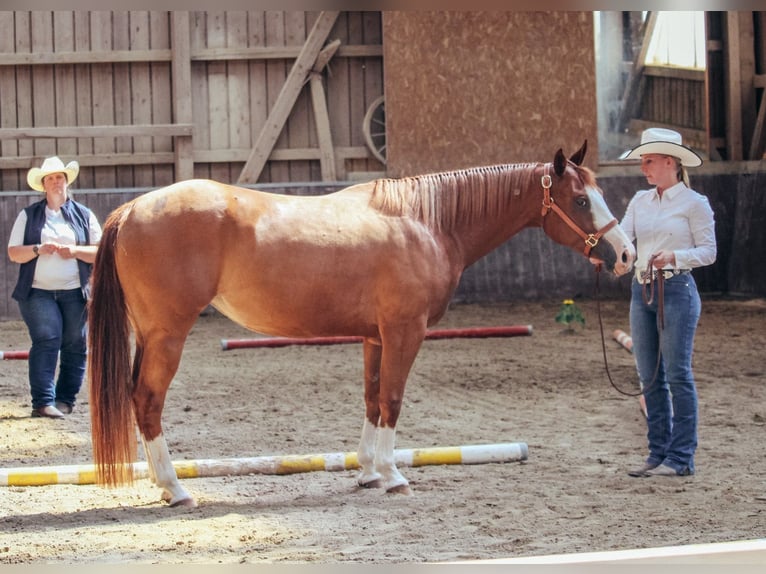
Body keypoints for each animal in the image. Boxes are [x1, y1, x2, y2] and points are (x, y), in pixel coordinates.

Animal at [88, 141, 635, 507]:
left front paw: (368, 472)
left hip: (150, 336)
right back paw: (175, 488)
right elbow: (392, 399)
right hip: (168, 336)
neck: (427, 221)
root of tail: (133, 207)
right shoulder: (405, 331)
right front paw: (394, 476)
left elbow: (372, 399)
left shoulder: (375, 337)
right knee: (147, 400)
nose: (626, 254)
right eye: (580, 200)